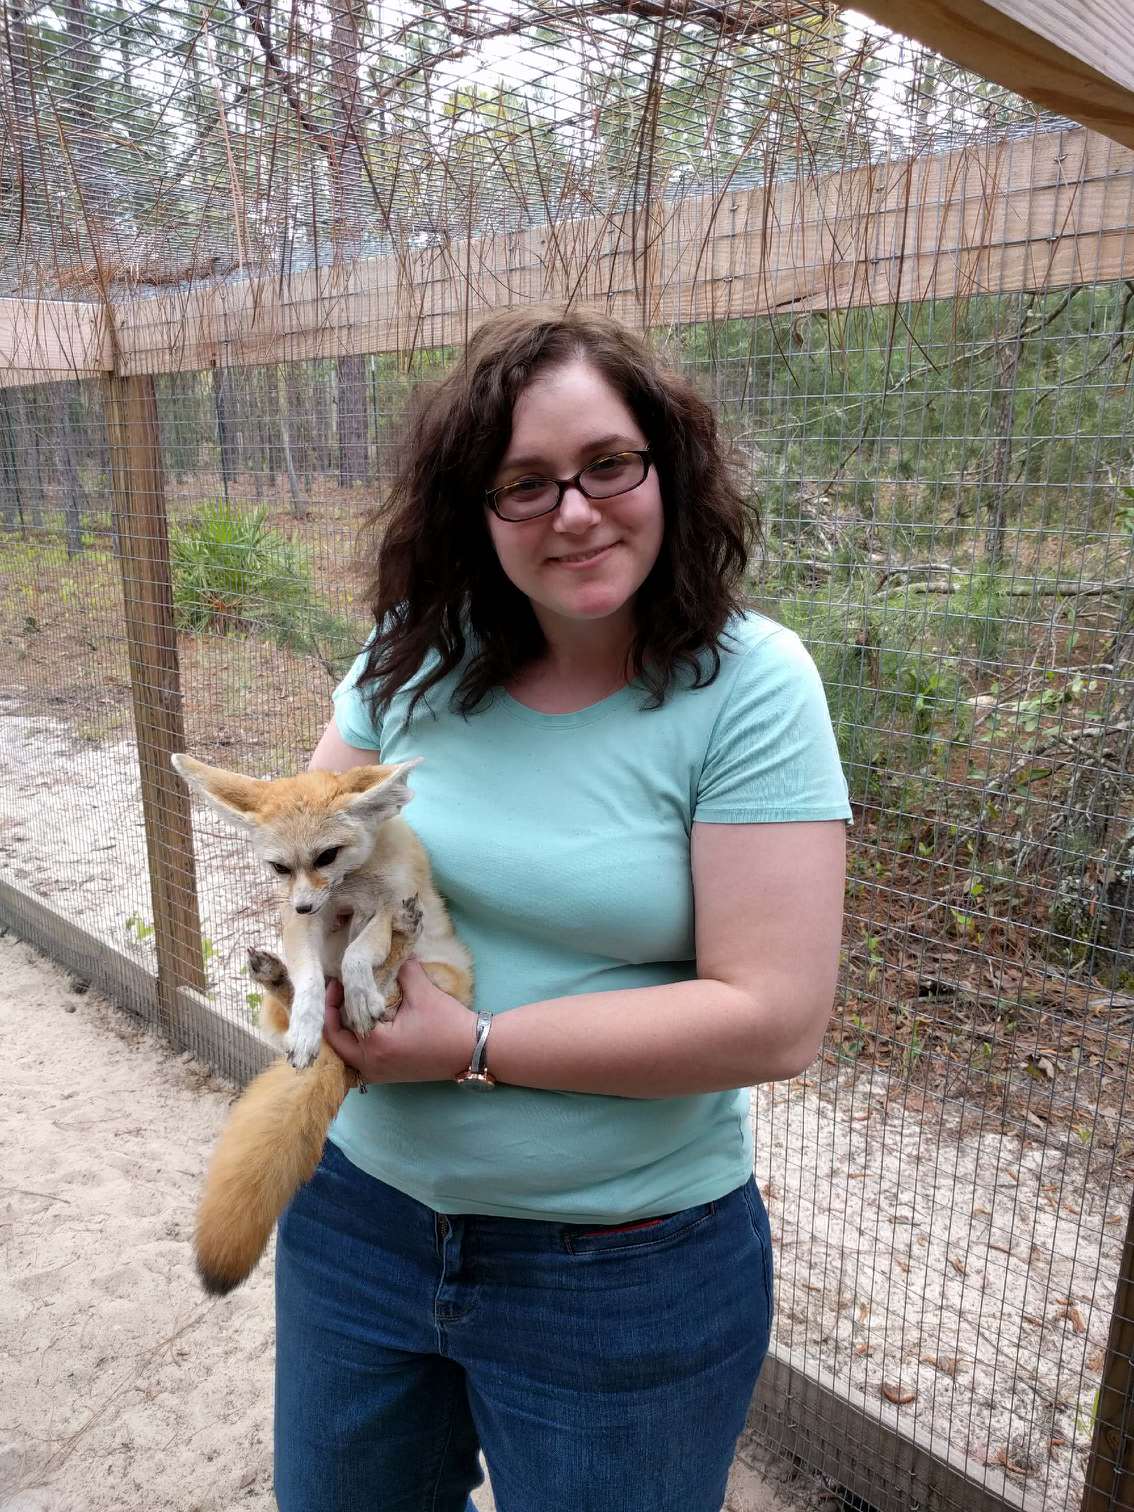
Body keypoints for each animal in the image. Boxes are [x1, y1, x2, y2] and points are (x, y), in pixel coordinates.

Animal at [168, 756, 474, 1300]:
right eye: (279, 867)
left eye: (327, 855)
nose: (306, 905)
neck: (352, 884)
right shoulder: (304, 923)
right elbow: (313, 979)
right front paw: (311, 1028)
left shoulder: (384, 903)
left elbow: (358, 955)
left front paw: (360, 993)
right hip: (273, 1006)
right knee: (297, 996)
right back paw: (281, 984)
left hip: (438, 974)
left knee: (392, 976)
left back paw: (378, 985)